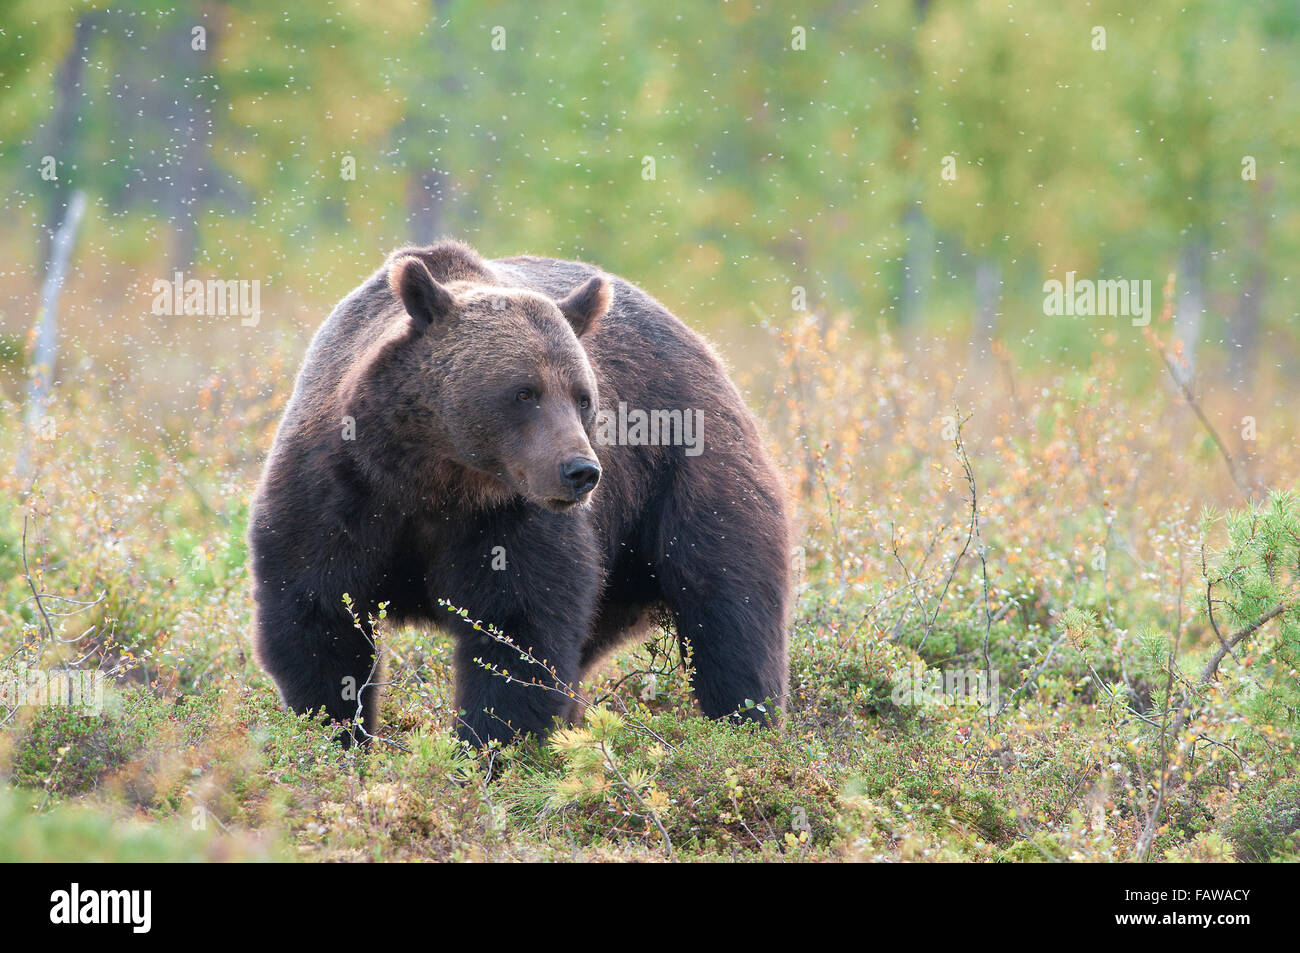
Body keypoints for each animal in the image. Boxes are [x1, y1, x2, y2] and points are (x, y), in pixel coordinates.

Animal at [246, 237, 785, 743]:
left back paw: (749, 728)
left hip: (686, 476)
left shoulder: (511, 520)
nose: (581, 471)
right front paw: (336, 736)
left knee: (730, 608)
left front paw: (488, 749)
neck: (433, 477)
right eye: (525, 392)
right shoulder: (339, 491)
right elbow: (318, 617)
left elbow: (518, 631)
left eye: (582, 396)